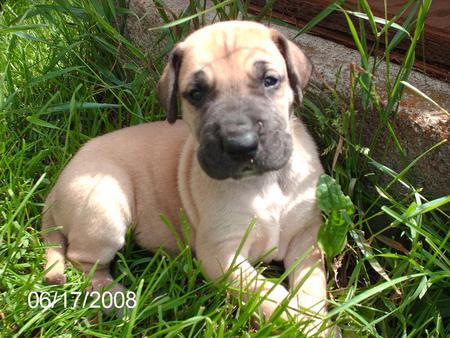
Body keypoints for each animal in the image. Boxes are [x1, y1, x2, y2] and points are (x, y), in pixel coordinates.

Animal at [44, 21, 328, 336]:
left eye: (270, 80)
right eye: (196, 94)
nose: (241, 144)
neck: (263, 183)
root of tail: (55, 189)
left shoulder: (306, 237)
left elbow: (313, 284)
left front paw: (318, 321)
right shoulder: (221, 256)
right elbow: (268, 293)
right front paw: (300, 323)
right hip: (104, 208)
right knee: (83, 262)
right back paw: (119, 300)